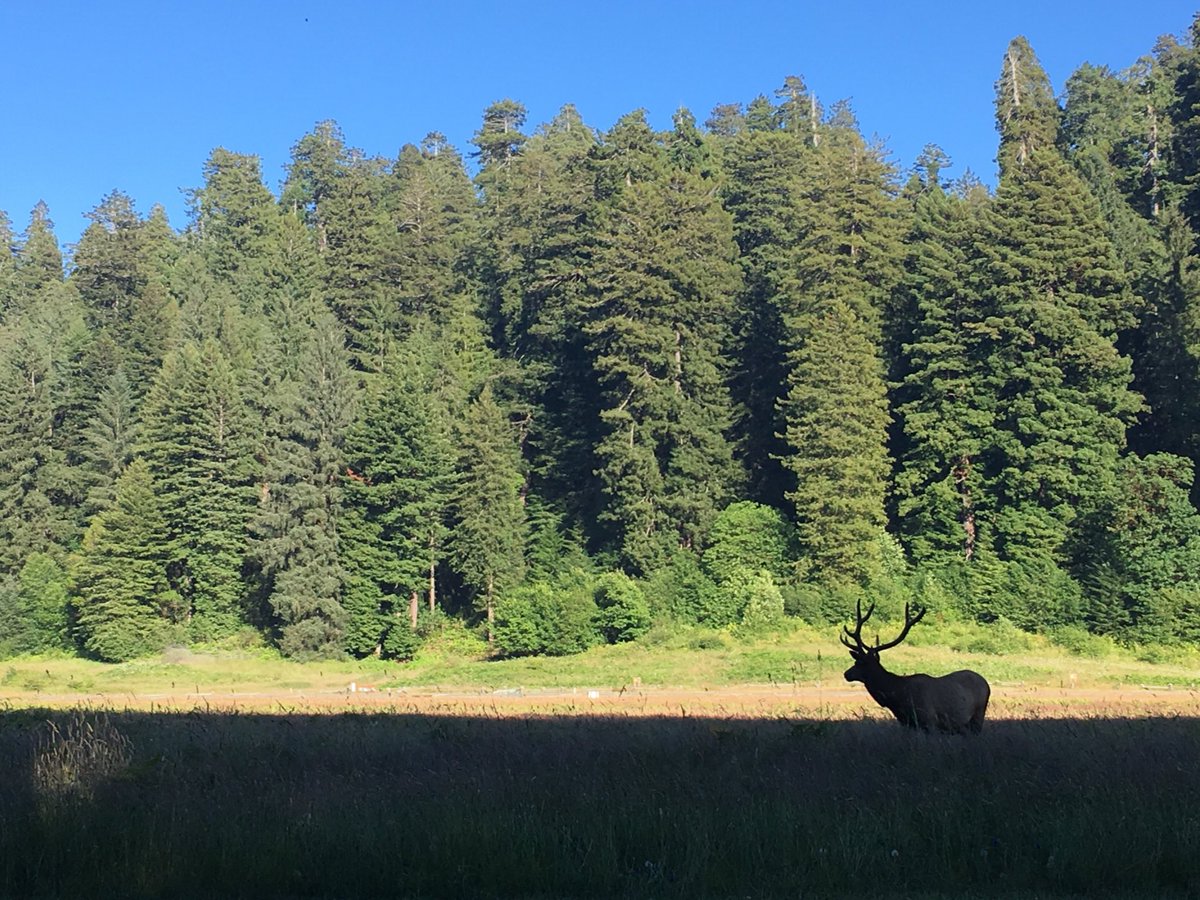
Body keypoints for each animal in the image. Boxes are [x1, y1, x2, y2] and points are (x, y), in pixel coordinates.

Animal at [840, 600, 990, 735]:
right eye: (855, 661)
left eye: (860, 663)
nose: (846, 674)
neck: (898, 697)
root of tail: (986, 683)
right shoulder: (907, 723)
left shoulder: (929, 720)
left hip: (978, 714)